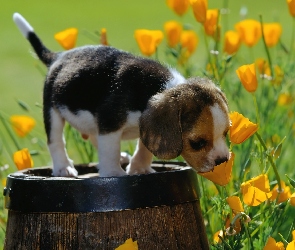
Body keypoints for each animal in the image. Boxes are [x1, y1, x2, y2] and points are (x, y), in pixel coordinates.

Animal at [13, 13, 231, 178]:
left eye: (226, 133)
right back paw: (63, 168)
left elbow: (144, 147)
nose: (222, 161)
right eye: (197, 143)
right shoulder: (110, 122)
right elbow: (109, 149)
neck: (159, 88)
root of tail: (58, 57)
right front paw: (113, 173)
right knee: (56, 140)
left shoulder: (145, 126)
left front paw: (139, 168)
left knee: (94, 136)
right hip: (52, 111)